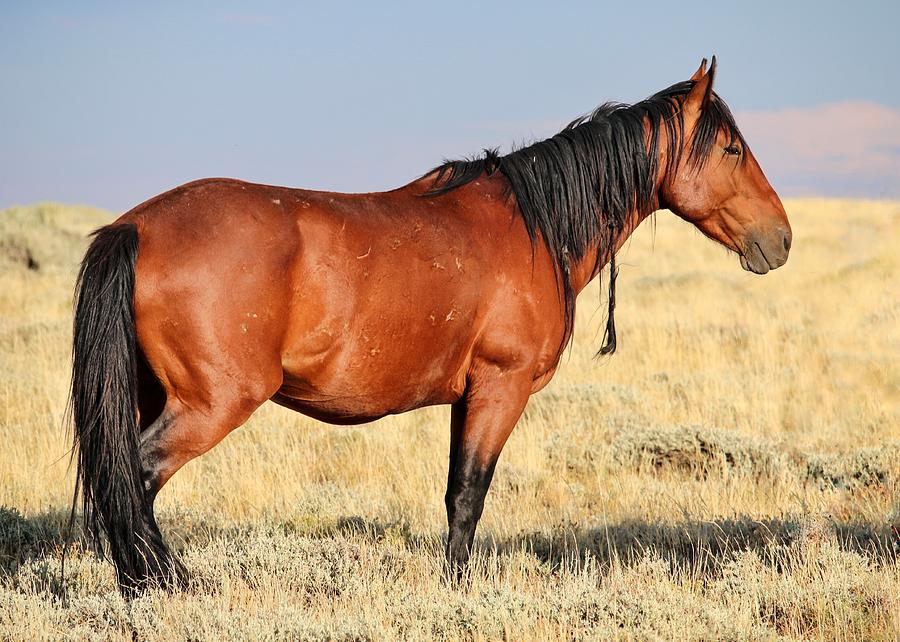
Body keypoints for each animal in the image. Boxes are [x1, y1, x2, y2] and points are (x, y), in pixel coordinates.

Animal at [68, 57, 788, 592]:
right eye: (730, 148)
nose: (780, 239)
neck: (533, 227)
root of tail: (136, 226)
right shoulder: (501, 388)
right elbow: (471, 494)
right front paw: (459, 591)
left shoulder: (466, 397)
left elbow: (452, 492)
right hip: (211, 402)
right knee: (134, 478)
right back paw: (163, 585)